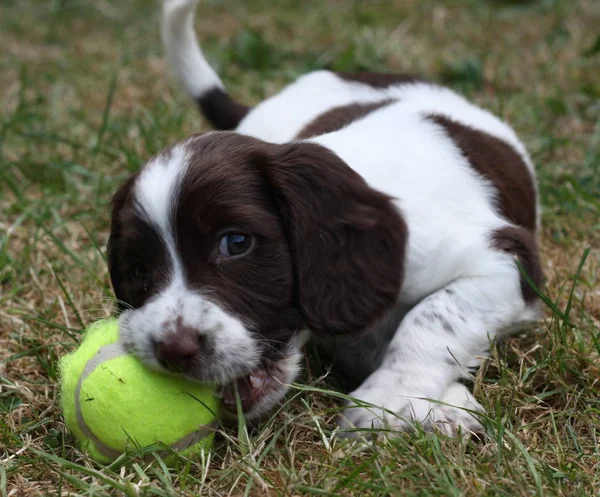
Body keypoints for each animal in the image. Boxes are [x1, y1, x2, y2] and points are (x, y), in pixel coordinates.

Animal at [105, 0, 540, 434]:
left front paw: (384, 400)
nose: (172, 351)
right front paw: (440, 404)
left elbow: (432, 317)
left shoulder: (503, 258)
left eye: (236, 243)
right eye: (138, 272)